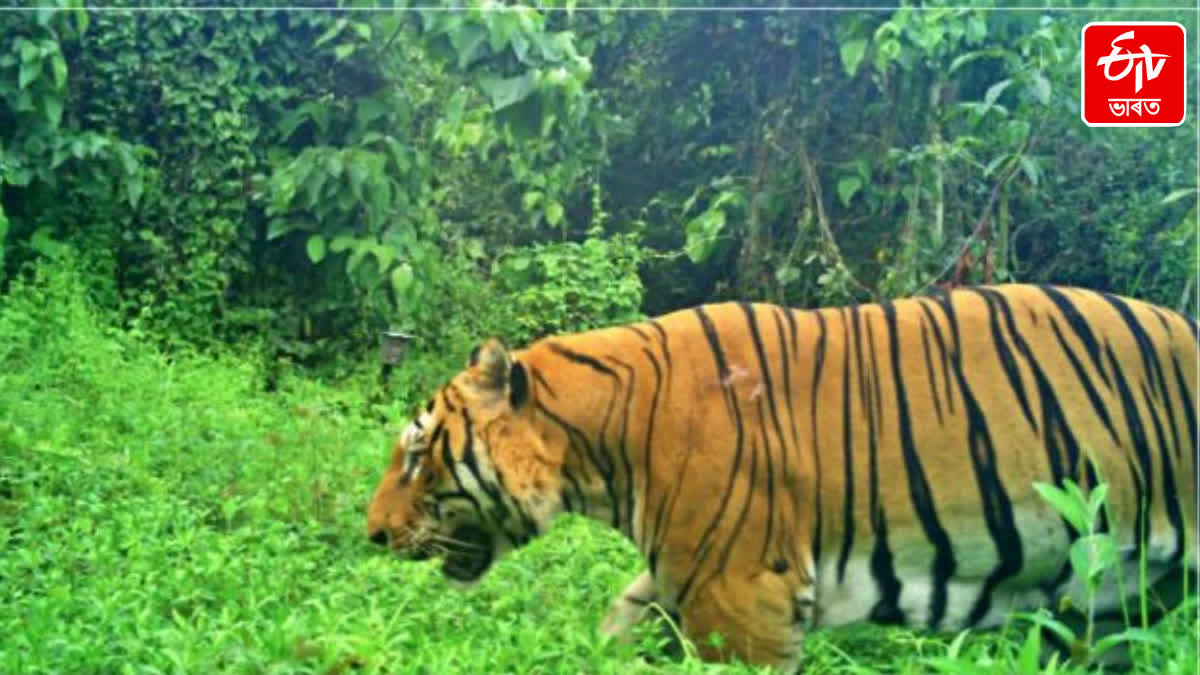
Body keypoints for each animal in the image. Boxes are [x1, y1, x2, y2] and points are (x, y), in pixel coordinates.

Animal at [366, 284, 1198, 671]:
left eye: (417, 451)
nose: (371, 533)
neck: (600, 444)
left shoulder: (741, 600)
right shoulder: (685, 573)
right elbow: (618, 623)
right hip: (1109, 605)